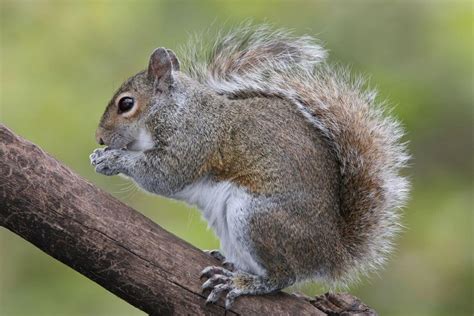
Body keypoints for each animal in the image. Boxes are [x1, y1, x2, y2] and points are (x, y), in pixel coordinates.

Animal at [90, 24, 410, 308]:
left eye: (126, 104)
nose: (100, 137)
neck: (175, 110)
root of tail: (332, 253)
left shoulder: (192, 142)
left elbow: (163, 175)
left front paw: (111, 159)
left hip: (256, 218)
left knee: (283, 276)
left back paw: (241, 282)